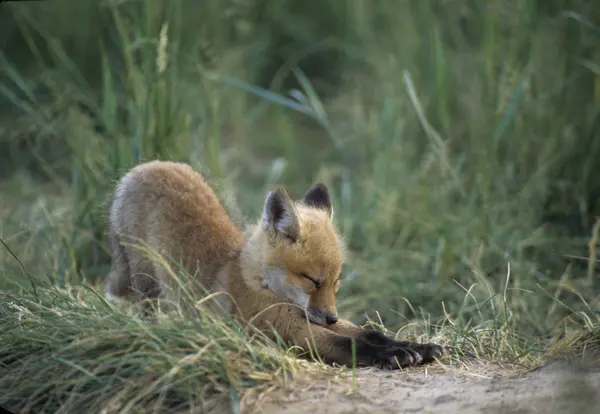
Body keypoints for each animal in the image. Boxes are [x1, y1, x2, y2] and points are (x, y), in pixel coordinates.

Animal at [106, 160, 446, 368]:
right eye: (312, 279)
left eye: (336, 282)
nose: (332, 318)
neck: (257, 280)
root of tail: (143, 168)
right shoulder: (291, 330)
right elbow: (351, 345)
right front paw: (396, 355)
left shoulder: (309, 318)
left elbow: (371, 334)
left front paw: (416, 347)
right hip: (147, 279)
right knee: (145, 308)